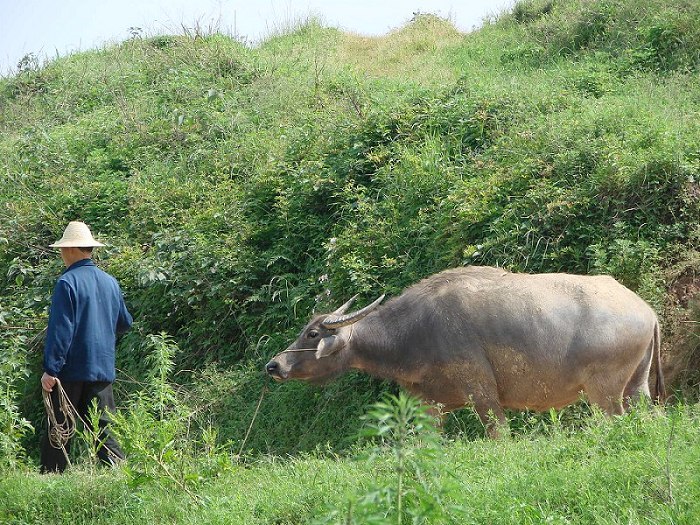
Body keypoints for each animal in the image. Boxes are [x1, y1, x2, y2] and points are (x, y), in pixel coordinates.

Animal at [266, 266, 664, 434]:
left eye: (312, 333)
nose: (274, 365)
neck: (415, 333)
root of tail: (646, 310)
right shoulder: (428, 404)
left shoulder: (483, 394)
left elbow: (499, 434)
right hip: (637, 387)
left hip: (604, 392)